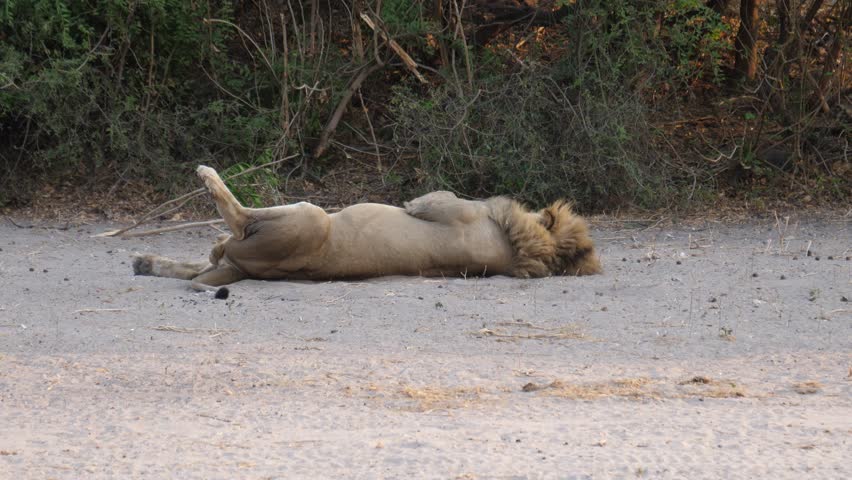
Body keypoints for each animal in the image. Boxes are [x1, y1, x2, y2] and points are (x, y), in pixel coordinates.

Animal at [132, 165, 601, 294]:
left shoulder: (453, 208)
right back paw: (144, 262)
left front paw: (411, 202)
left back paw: (208, 177)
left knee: (238, 217)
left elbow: (433, 197)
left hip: (309, 215)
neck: (518, 245)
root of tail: (243, 269)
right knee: (199, 265)